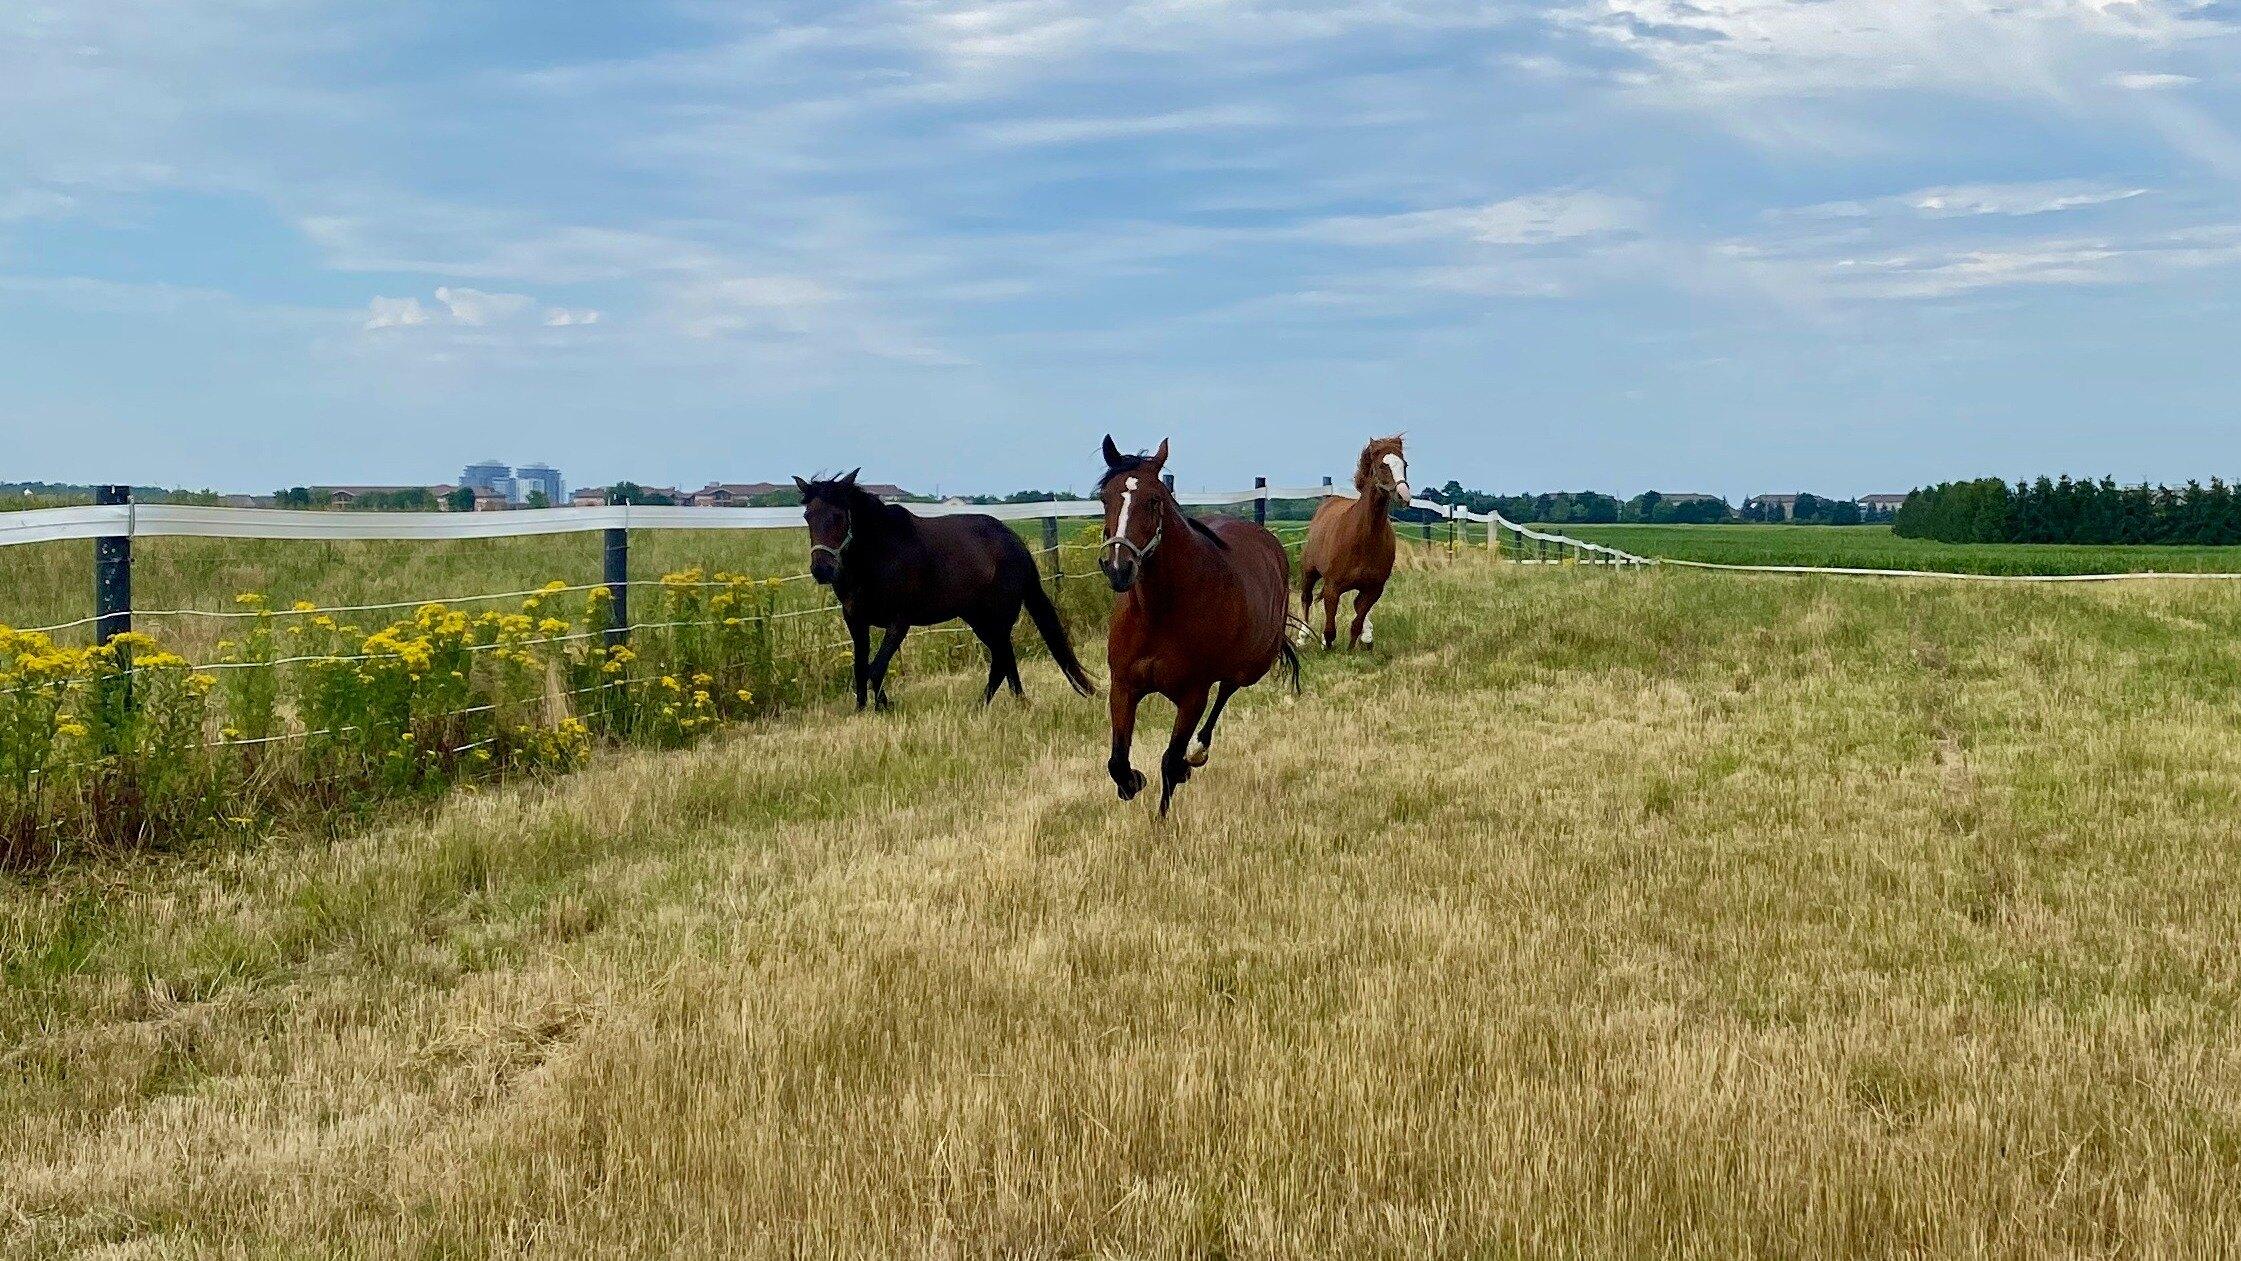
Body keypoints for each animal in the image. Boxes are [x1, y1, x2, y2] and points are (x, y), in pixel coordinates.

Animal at [796, 469, 1095, 710]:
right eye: (808, 515)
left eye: (838, 516)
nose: (821, 570)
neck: (879, 554)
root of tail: (1015, 542)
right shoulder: (855, 620)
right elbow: (860, 669)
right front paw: (862, 711)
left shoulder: (899, 621)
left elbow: (875, 668)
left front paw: (884, 708)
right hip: (977, 617)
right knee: (1005, 656)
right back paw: (1016, 702)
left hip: (998, 615)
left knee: (1001, 658)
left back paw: (983, 705)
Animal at [1096, 436, 1300, 816]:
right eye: (1105, 497)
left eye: (1154, 499)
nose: (1119, 568)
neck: (1159, 614)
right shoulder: (1124, 686)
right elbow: (1117, 761)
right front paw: (1132, 783)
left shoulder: (1192, 695)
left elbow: (1169, 759)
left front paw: (1162, 816)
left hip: (1252, 666)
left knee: (1227, 689)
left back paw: (1197, 753)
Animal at [1297, 435, 1410, 650]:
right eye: (1382, 465)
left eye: (1404, 464)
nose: (1404, 495)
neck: (1362, 538)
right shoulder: (1333, 587)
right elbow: (1330, 627)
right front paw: (1326, 645)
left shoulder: (1374, 589)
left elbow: (1357, 620)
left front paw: (1352, 648)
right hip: (1309, 571)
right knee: (1306, 598)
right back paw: (1302, 637)